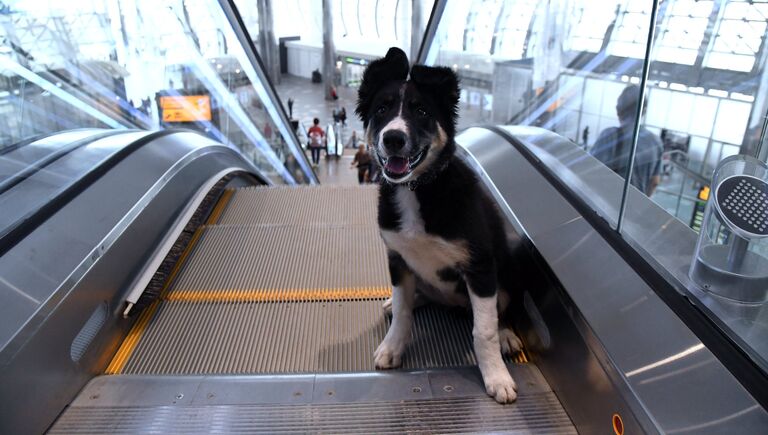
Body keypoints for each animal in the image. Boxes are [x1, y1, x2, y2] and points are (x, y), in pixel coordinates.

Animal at [356, 46, 524, 404]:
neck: (417, 190)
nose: (393, 138)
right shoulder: (397, 257)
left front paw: (496, 376)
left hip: (506, 271)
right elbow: (403, 311)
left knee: (502, 310)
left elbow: (484, 330)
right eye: (381, 109)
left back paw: (507, 334)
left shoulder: (480, 266)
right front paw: (393, 346)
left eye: (421, 111)